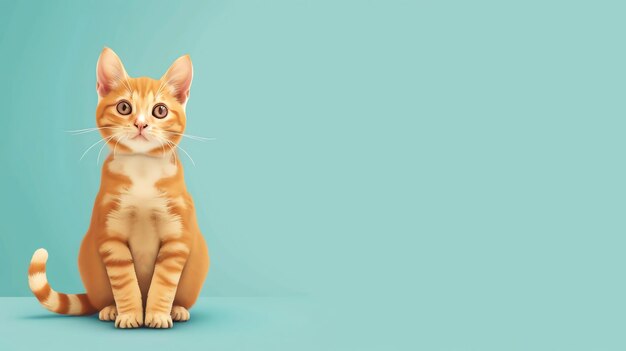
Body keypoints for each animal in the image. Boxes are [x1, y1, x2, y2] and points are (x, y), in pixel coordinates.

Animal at [26, 48, 208, 328]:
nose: (141, 124)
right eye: (124, 107)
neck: (142, 171)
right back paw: (110, 308)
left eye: (160, 110)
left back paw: (177, 309)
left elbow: (164, 282)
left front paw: (157, 314)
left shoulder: (177, 236)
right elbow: (123, 281)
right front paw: (130, 314)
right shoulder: (110, 234)